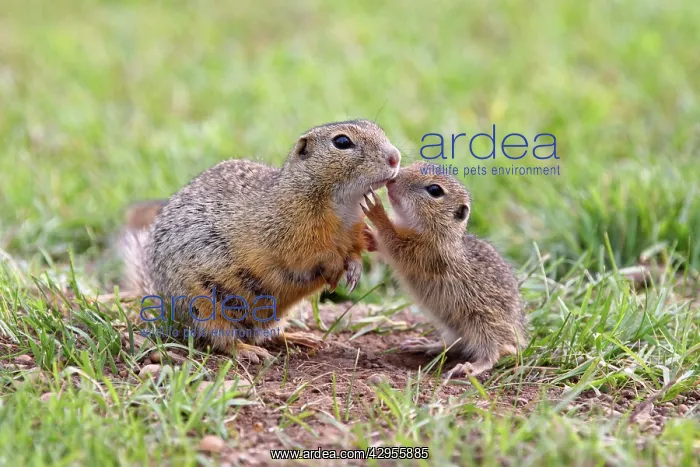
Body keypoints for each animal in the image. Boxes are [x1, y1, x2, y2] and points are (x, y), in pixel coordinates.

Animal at [121, 119, 401, 364]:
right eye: (342, 142)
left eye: (379, 129)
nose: (395, 157)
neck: (343, 206)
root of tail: (166, 308)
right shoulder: (288, 233)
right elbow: (310, 254)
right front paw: (334, 268)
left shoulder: (354, 232)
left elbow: (353, 251)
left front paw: (354, 269)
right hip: (203, 306)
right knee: (222, 340)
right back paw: (248, 350)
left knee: (266, 334)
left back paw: (297, 338)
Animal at [361, 161, 527, 378]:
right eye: (417, 164)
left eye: (435, 190)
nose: (392, 179)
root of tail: (519, 336)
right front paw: (369, 236)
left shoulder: (427, 253)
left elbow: (393, 241)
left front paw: (376, 211)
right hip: (452, 326)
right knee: (457, 344)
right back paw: (428, 345)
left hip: (484, 324)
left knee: (494, 351)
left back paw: (471, 366)